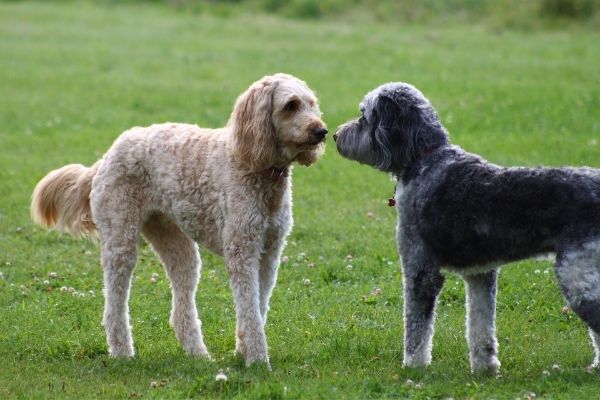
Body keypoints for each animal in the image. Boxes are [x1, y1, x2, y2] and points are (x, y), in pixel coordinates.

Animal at [30, 73, 326, 368]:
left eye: (311, 104)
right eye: (290, 105)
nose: (322, 131)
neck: (256, 167)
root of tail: (106, 157)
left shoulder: (269, 252)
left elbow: (258, 306)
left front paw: (243, 350)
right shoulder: (243, 251)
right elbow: (250, 309)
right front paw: (257, 361)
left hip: (176, 245)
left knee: (180, 310)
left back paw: (199, 354)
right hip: (120, 239)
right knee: (114, 305)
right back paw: (123, 352)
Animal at [336, 83, 600, 374]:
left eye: (364, 116)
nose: (335, 135)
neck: (425, 159)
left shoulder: (420, 267)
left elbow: (416, 326)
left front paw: (414, 365)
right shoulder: (481, 274)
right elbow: (480, 326)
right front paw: (485, 367)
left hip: (577, 276)